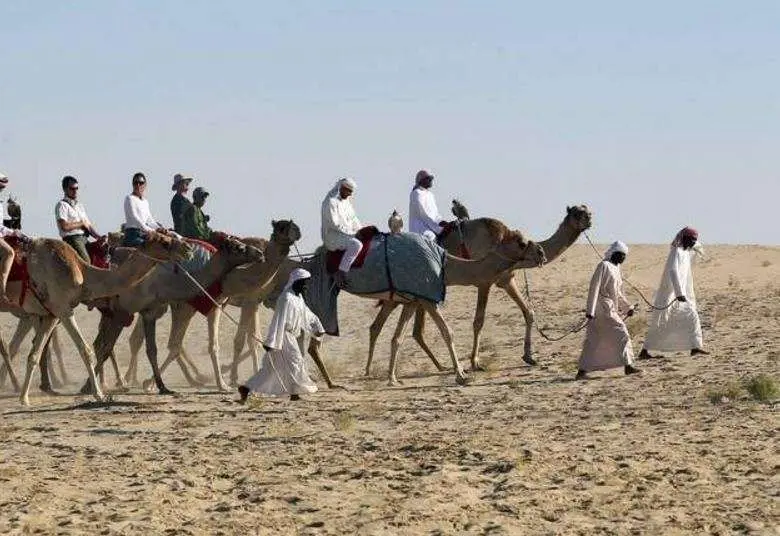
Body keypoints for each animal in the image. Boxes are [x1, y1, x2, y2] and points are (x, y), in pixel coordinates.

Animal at [0, 232, 193, 404]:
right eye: (164, 242)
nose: (188, 248)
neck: (81, 271)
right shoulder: (63, 307)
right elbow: (87, 349)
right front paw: (99, 394)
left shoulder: (51, 314)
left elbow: (35, 354)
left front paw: (24, 399)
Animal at [83, 228, 270, 396]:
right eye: (239, 248)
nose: (260, 254)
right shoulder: (124, 311)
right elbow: (109, 347)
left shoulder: (150, 311)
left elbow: (153, 349)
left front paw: (162, 387)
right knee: (105, 345)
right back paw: (113, 382)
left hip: (108, 311)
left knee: (102, 343)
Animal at [366, 203, 592, 374]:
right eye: (577, 212)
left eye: (586, 209)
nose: (590, 218)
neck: (503, 242)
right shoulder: (484, 282)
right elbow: (478, 321)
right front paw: (475, 362)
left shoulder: (506, 279)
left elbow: (529, 312)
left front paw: (529, 357)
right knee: (394, 323)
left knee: (410, 329)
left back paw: (440, 366)